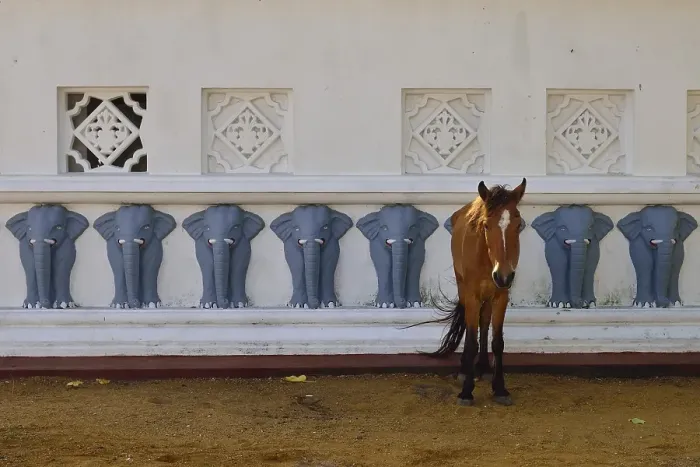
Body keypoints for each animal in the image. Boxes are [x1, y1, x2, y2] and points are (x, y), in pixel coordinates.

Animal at [408, 178, 527, 406]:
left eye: (518, 225)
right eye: (486, 225)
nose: (504, 276)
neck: (487, 260)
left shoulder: (501, 296)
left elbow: (497, 341)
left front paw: (500, 388)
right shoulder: (472, 296)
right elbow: (471, 341)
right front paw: (466, 391)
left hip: (489, 297)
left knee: (484, 322)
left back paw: (484, 367)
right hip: (463, 288)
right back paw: (466, 370)